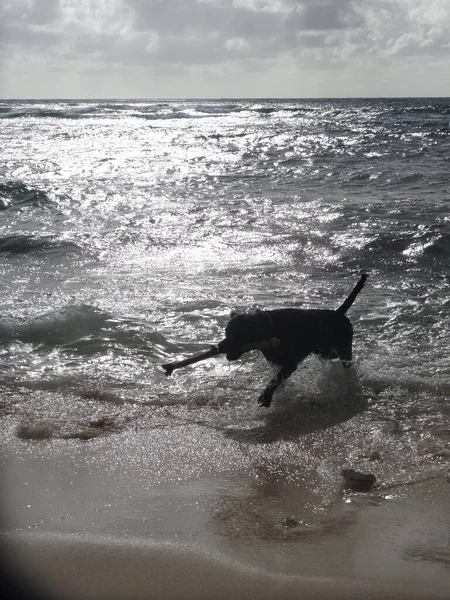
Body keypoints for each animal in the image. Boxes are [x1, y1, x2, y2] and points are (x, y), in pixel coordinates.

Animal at [218, 276, 370, 408]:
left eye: (234, 336)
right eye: (226, 332)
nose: (220, 346)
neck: (268, 330)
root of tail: (338, 313)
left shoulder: (289, 364)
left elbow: (275, 381)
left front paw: (266, 397)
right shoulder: (277, 363)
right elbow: (277, 380)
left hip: (342, 348)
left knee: (347, 360)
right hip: (324, 352)